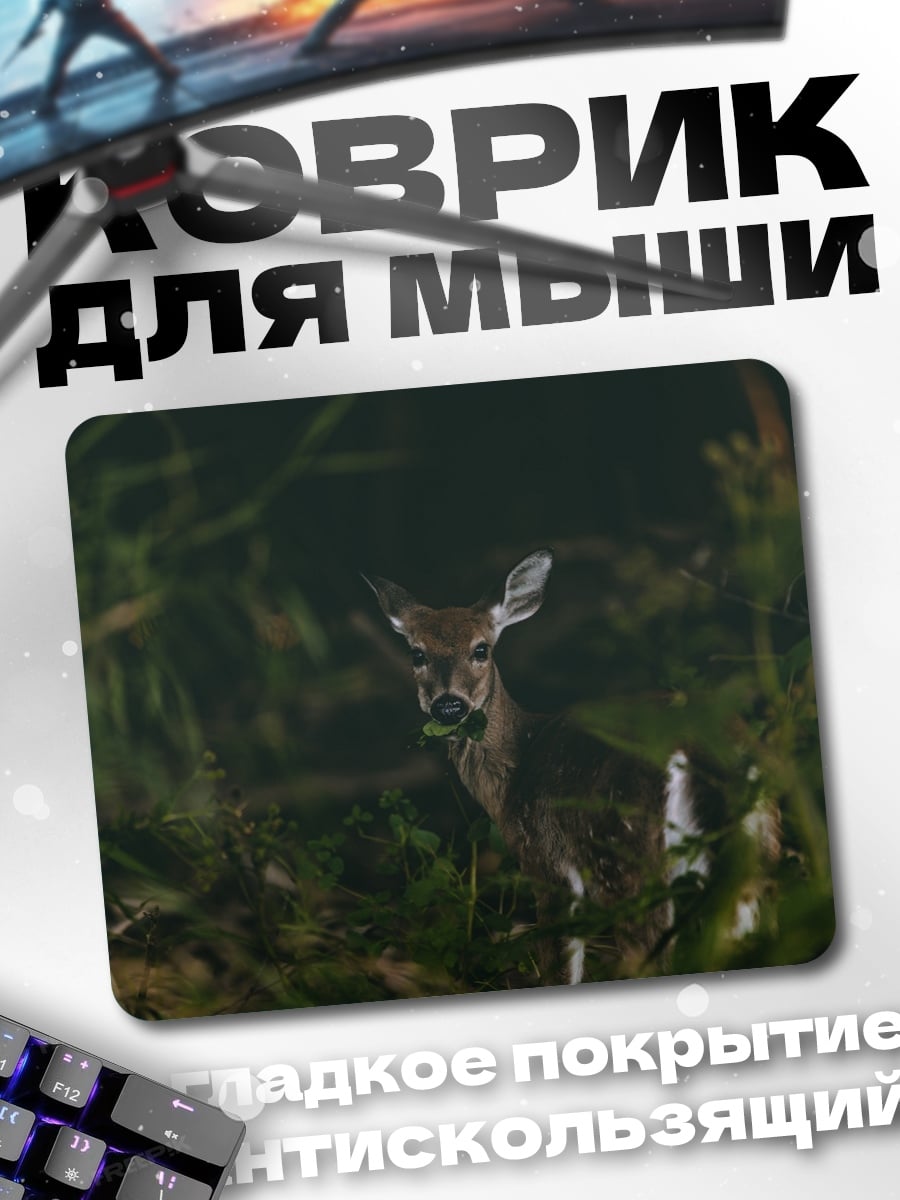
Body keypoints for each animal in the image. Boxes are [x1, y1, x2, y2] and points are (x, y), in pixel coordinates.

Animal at [365, 548, 779, 986]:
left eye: (481, 649)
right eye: (417, 653)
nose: (449, 705)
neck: (514, 774)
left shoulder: (546, 860)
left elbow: (561, 965)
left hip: (628, 856)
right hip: (763, 845)